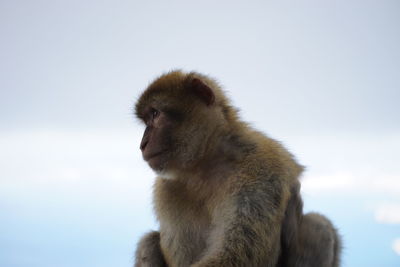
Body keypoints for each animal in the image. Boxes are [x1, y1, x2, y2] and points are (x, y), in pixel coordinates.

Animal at [134, 70, 340, 266]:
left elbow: (237, 255)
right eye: (147, 119)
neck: (205, 164)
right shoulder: (165, 190)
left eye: (155, 114)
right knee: (147, 242)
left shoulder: (261, 173)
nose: (142, 144)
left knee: (319, 225)